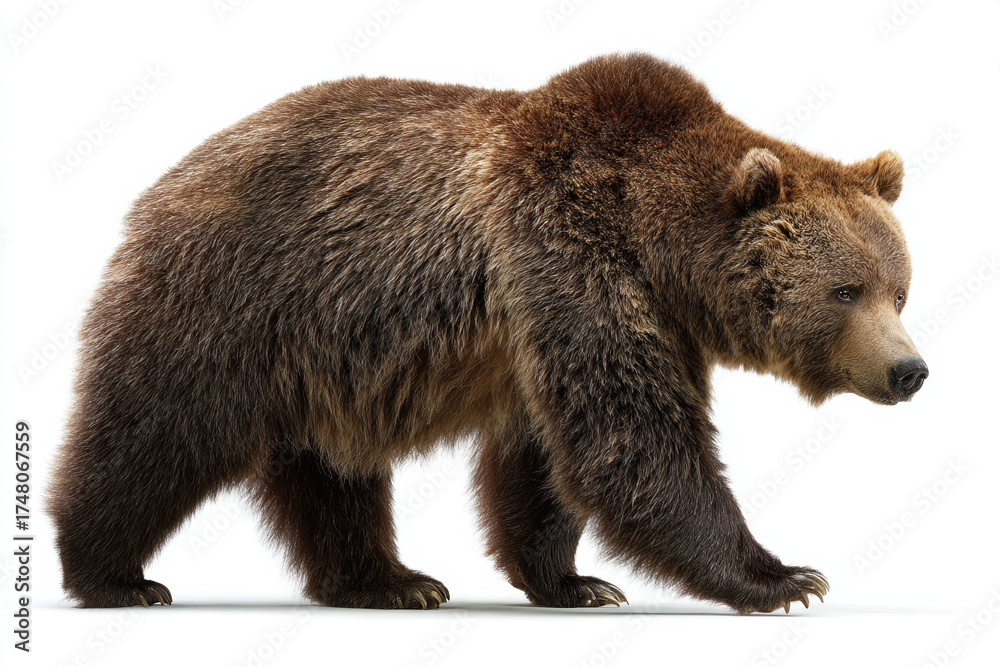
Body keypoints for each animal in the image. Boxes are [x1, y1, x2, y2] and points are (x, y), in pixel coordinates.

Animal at [47, 52, 928, 613]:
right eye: (846, 290)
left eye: (901, 289)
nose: (910, 370)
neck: (657, 245)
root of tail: (166, 179)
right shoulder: (564, 255)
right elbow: (631, 439)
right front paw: (783, 577)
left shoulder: (578, 323)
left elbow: (543, 459)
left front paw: (575, 583)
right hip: (229, 295)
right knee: (156, 430)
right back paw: (115, 575)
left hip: (325, 353)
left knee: (331, 471)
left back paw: (390, 580)